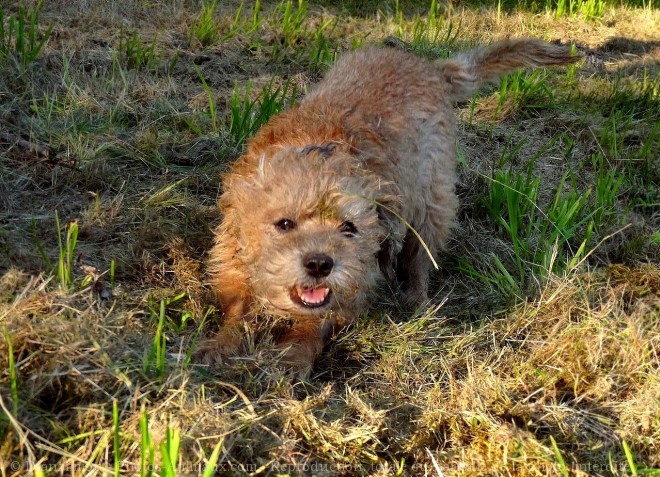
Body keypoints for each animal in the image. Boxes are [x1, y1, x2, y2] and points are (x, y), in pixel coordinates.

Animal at [197, 38, 576, 372]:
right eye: (285, 224)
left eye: (349, 228)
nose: (320, 264)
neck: (319, 152)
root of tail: (430, 68)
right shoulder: (231, 253)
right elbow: (237, 307)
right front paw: (221, 346)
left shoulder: (357, 280)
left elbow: (316, 323)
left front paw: (292, 357)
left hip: (431, 199)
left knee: (420, 257)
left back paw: (416, 300)